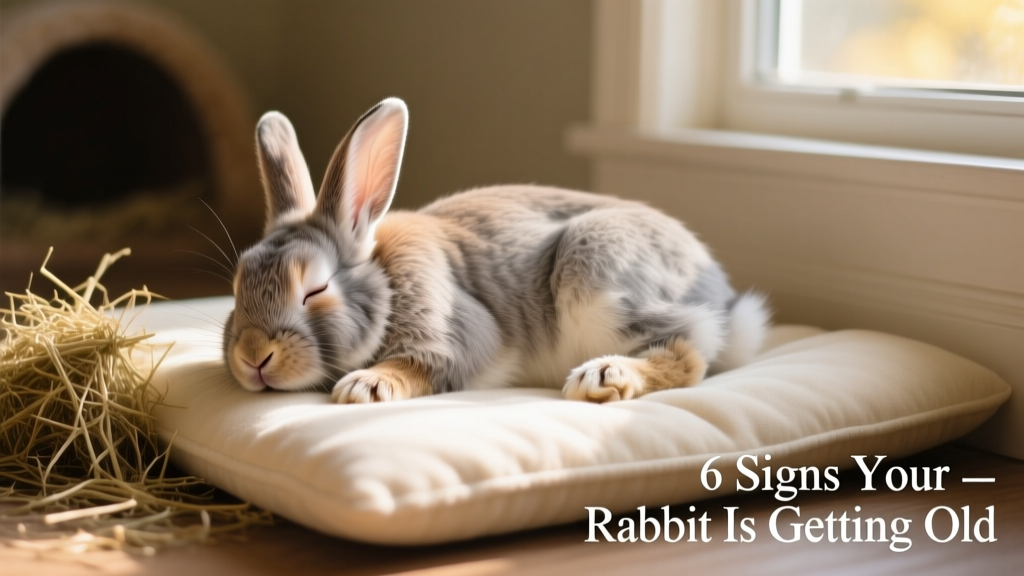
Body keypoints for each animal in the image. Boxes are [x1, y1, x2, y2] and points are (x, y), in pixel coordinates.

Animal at [223, 97, 770, 404]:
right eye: (236, 286)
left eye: (315, 290)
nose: (253, 357)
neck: (386, 283)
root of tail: (722, 298)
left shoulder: (455, 332)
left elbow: (423, 364)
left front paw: (365, 385)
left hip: (598, 275)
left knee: (687, 351)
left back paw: (603, 376)